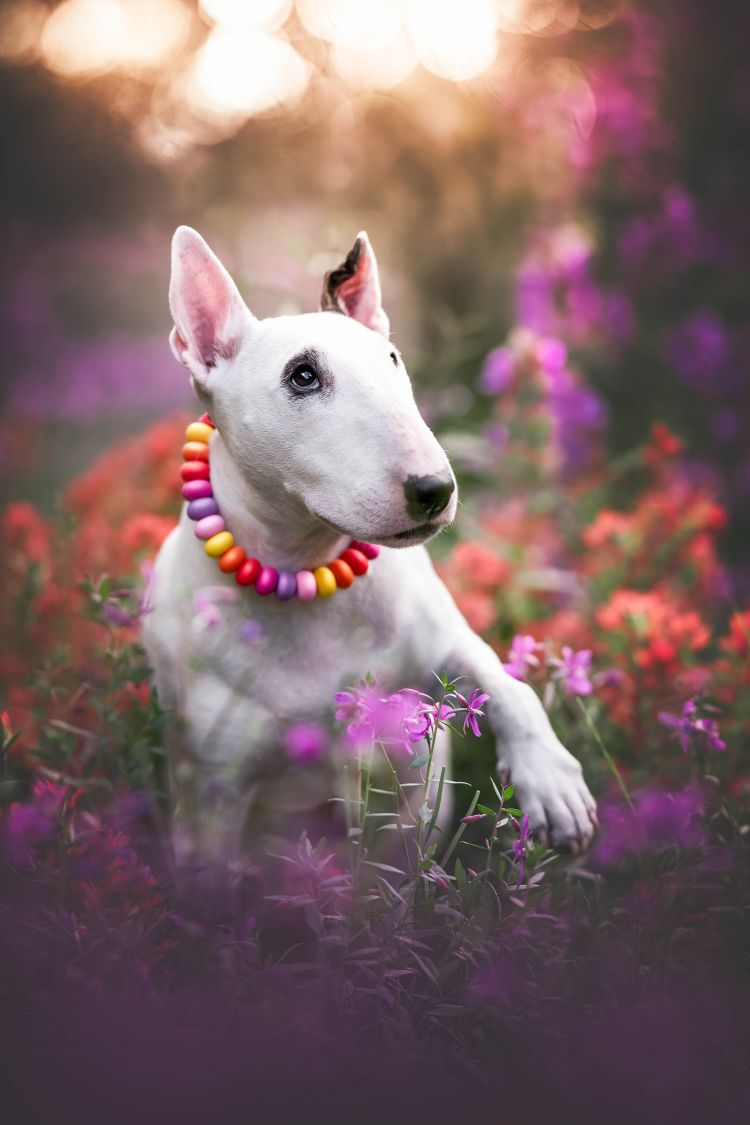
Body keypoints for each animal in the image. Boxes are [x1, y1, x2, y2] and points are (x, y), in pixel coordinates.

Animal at [143, 226, 593, 868]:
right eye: (303, 376)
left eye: (393, 361)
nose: (435, 490)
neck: (305, 566)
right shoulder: (212, 787)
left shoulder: (441, 643)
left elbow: (504, 681)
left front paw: (551, 781)